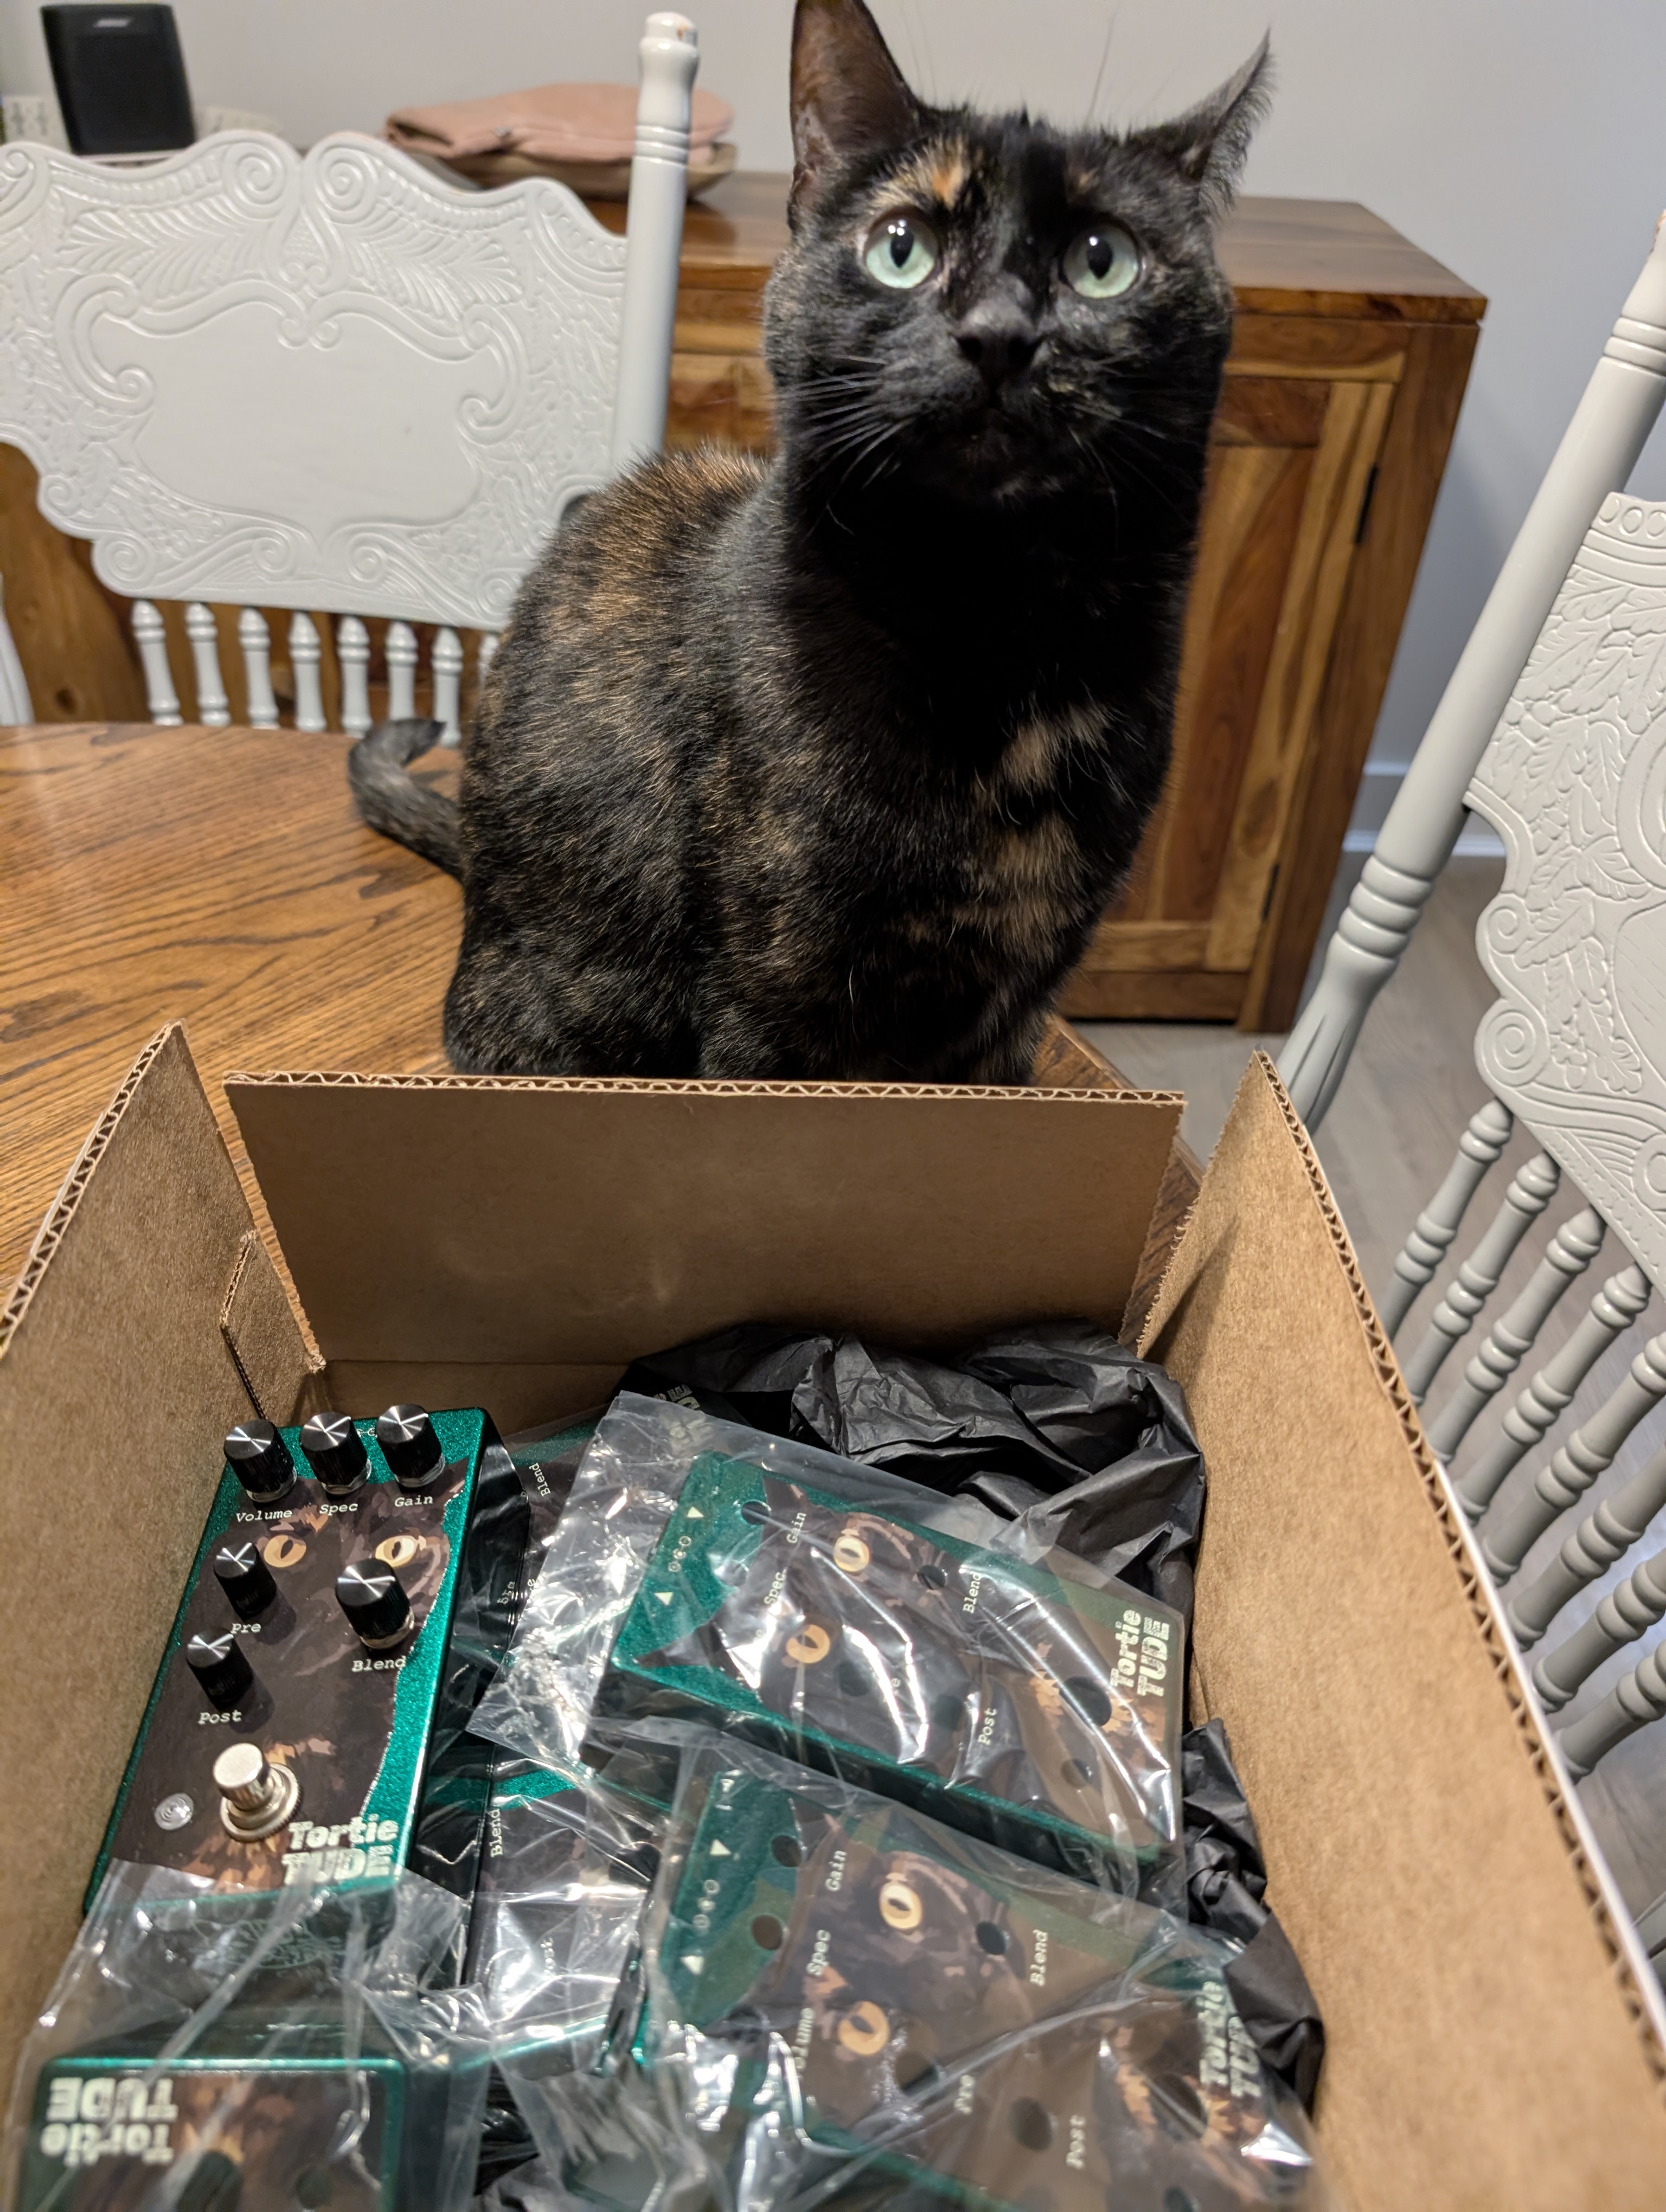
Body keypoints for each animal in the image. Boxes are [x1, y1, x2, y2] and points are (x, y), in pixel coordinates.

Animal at [350, 0, 1268, 1080]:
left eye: (1102, 261)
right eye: (900, 247)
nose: (999, 334)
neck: (996, 626)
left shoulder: (1018, 1004)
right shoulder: (775, 996)